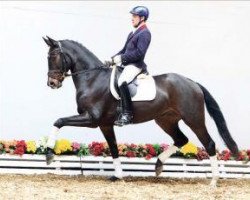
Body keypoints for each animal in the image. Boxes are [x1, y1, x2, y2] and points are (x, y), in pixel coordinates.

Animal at [43, 36, 238, 187]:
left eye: (53, 56)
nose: (52, 84)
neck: (92, 78)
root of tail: (193, 83)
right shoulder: (105, 124)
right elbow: (113, 148)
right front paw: (118, 175)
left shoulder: (92, 119)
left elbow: (59, 121)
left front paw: (49, 153)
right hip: (165, 120)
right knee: (181, 139)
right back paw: (158, 165)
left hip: (193, 119)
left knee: (209, 144)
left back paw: (213, 181)